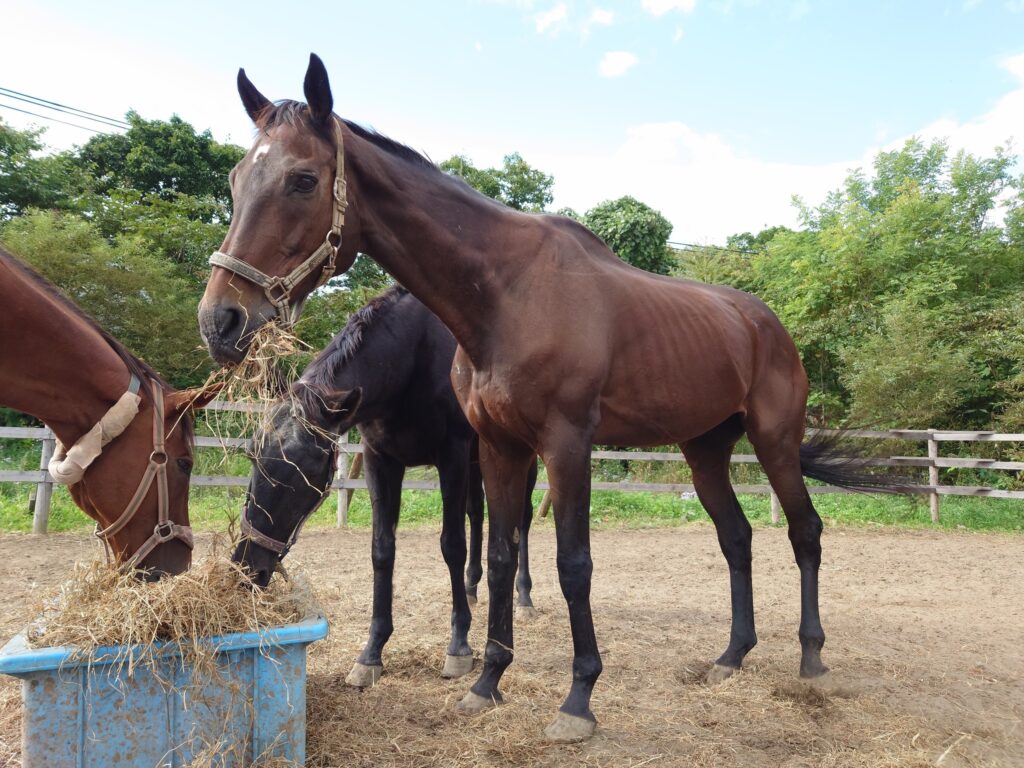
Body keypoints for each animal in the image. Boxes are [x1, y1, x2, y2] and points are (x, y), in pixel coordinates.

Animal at [195, 55, 892, 745]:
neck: (507, 295)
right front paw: (486, 681)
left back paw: (812, 659)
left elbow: (571, 563)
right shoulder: (498, 448)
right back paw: (731, 656)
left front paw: (578, 699)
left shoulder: (562, 447)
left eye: (303, 180)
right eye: (235, 178)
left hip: (775, 442)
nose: (220, 320)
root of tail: (764, 323)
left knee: (805, 531)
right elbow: (497, 555)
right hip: (705, 451)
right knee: (737, 538)